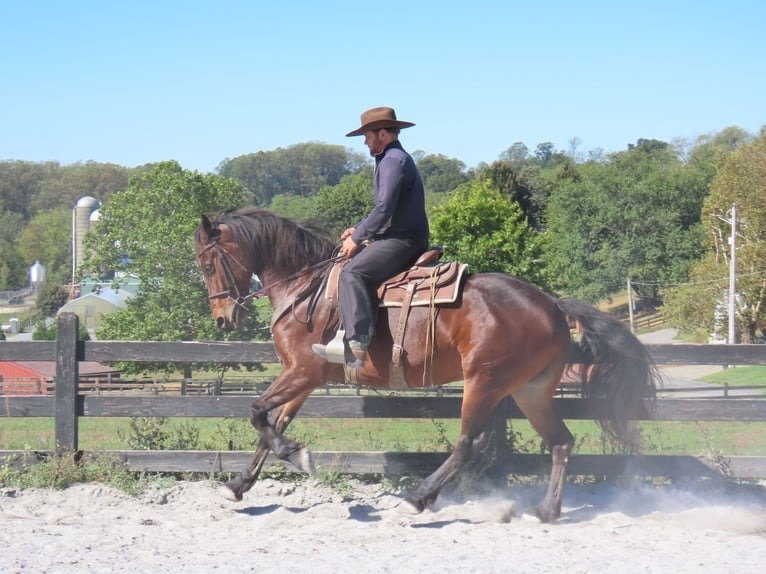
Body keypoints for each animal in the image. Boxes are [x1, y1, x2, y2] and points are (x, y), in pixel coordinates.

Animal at [194, 206, 658, 522]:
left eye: (208, 263)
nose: (222, 318)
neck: (306, 286)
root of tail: (552, 306)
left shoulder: (302, 371)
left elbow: (258, 414)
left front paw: (296, 455)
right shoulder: (304, 378)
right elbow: (272, 424)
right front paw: (242, 483)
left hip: (485, 382)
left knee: (470, 443)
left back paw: (419, 497)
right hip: (531, 389)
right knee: (560, 442)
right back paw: (546, 510)